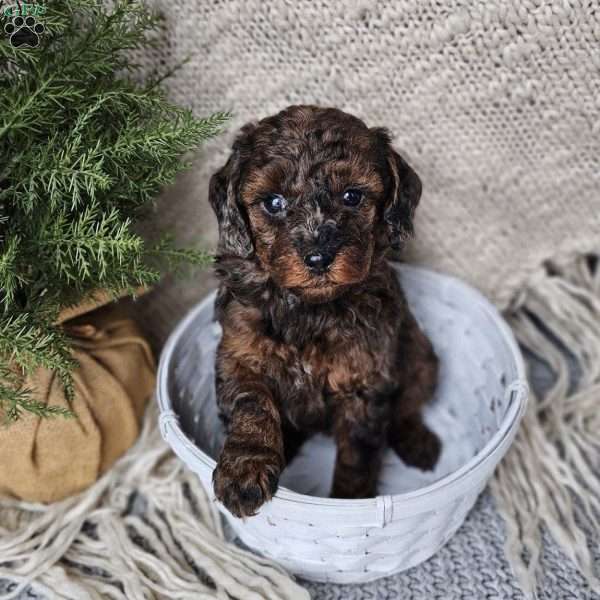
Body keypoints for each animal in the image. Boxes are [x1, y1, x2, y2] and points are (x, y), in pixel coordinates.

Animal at [207, 104, 440, 516]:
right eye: (273, 202)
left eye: (352, 196)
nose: (318, 258)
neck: (309, 309)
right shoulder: (238, 354)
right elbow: (252, 402)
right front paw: (245, 470)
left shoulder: (365, 381)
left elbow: (357, 458)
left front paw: (350, 502)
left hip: (421, 355)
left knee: (409, 404)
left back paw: (418, 442)